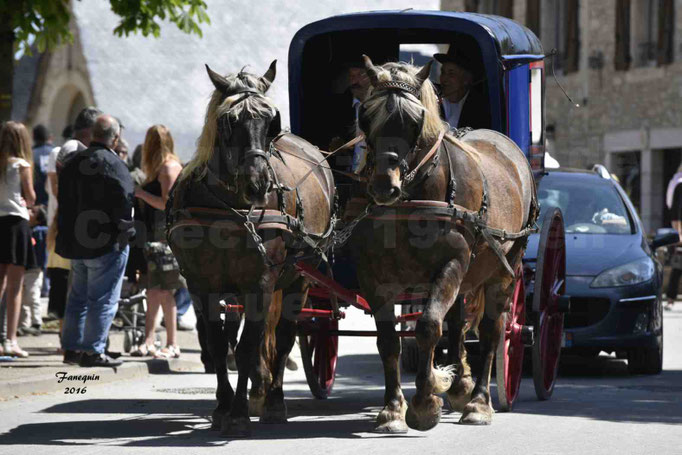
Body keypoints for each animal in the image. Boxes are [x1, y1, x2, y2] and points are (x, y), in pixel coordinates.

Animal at [166, 63, 334, 438]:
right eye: (229, 121)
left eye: (271, 120)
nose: (258, 184)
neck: (232, 207)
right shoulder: (202, 285)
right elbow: (218, 346)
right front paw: (222, 407)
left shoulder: (260, 282)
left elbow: (246, 348)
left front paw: (240, 413)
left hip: (298, 280)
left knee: (284, 336)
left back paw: (273, 401)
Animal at [350, 55, 536, 432]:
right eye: (366, 115)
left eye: (415, 119)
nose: (384, 185)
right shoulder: (374, 275)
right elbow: (388, 339)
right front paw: (392, 409)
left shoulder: (451, 263)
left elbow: (428, 327)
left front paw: (423, 404)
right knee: (458, 321)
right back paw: (462, 384)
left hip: (505, 268)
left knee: (493, 329)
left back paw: (478, 402)